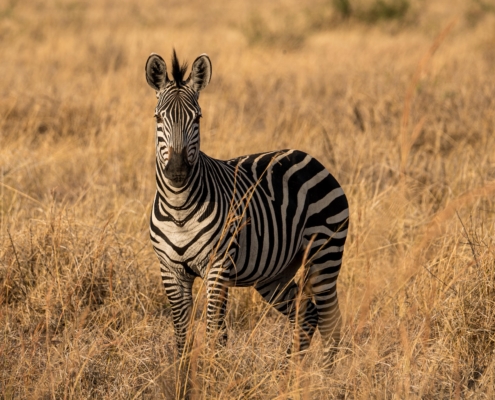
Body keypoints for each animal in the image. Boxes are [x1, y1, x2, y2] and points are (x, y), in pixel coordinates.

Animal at [145, 50, 350, 368]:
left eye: (198, 118)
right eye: (158, 117)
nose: (177, 172)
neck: (179, 209)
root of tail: (311, 157)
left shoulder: (217, 267)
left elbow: (215, 333)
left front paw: (212, 376)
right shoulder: (170, 270)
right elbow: (181, 336)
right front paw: (182, 376)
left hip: (325, 254)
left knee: (331, 322)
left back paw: (324, 377)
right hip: (275, 273)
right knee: (307, 314)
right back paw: (288, 374)